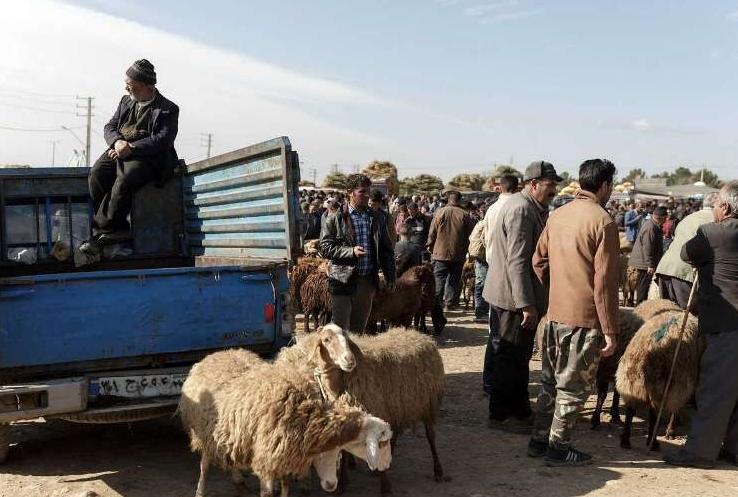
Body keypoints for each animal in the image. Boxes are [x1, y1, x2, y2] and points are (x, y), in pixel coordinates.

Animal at [179, 345, 393, 497]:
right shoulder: (267, 456)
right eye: (382, 444)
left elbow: (286, 486)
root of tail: (214, 355)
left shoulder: (285, 453)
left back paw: (238, 480)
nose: (332, 485)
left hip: (231, 433)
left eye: (339, 452)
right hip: (206, 432)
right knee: (205, 464)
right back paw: (200, 490)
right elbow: (267, 492)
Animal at [277, 327, 446, 495]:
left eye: (347, 338)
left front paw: (385, 486)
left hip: (428, 404)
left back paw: (438, 471)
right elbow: (345, 451)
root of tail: (418, 334)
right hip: (398, 407)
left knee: (431, 436)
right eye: (326, 339)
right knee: (395, 435)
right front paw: (343, 483)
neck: (338, 385)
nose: (350, 360)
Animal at [615, 310, 705, 450]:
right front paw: (671, 432)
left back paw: (625, 441)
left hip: (628, 383)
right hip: (660, 386)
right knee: (654, 414)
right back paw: (653, 443)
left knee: (630, 411)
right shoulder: (679, 385)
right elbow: (675, 410)